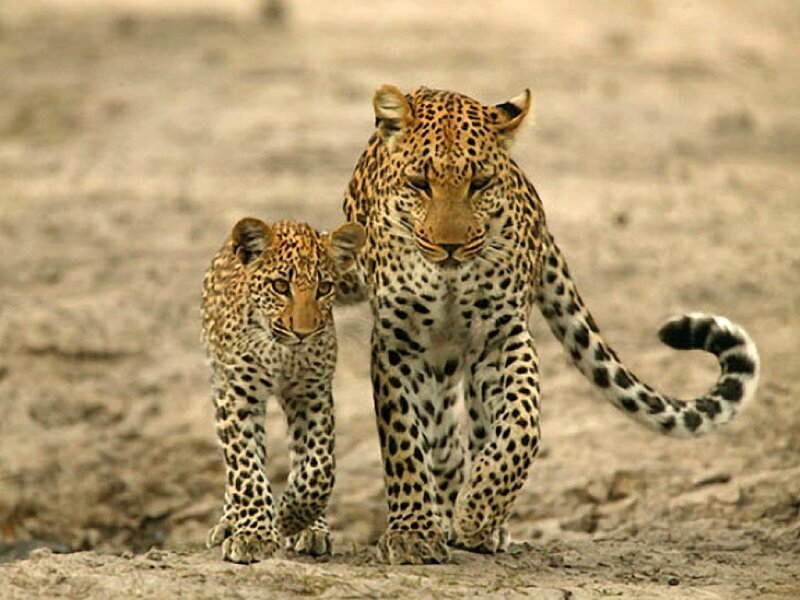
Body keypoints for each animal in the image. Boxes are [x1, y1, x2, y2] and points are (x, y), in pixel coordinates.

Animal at [202, 217, 364, 563]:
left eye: (324, 288)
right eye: (280, 286)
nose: (302, 333)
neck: (282, 352)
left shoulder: (312, 395)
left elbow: (319, 464)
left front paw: (293, 516)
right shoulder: (237, 397)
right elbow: (246, 469)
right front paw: (253, 535)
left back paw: (311, 528)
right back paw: (230, 522)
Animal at [340, 84, 760, 565]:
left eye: (479, 184)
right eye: (419, 184)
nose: (450, 247)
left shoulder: (502, 338)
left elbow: (521, 426)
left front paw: (479, 511)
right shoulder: (398, 343)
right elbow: (403, 442)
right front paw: (413, 532)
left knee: (471, 429)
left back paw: (478, 522)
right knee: (440, 433)